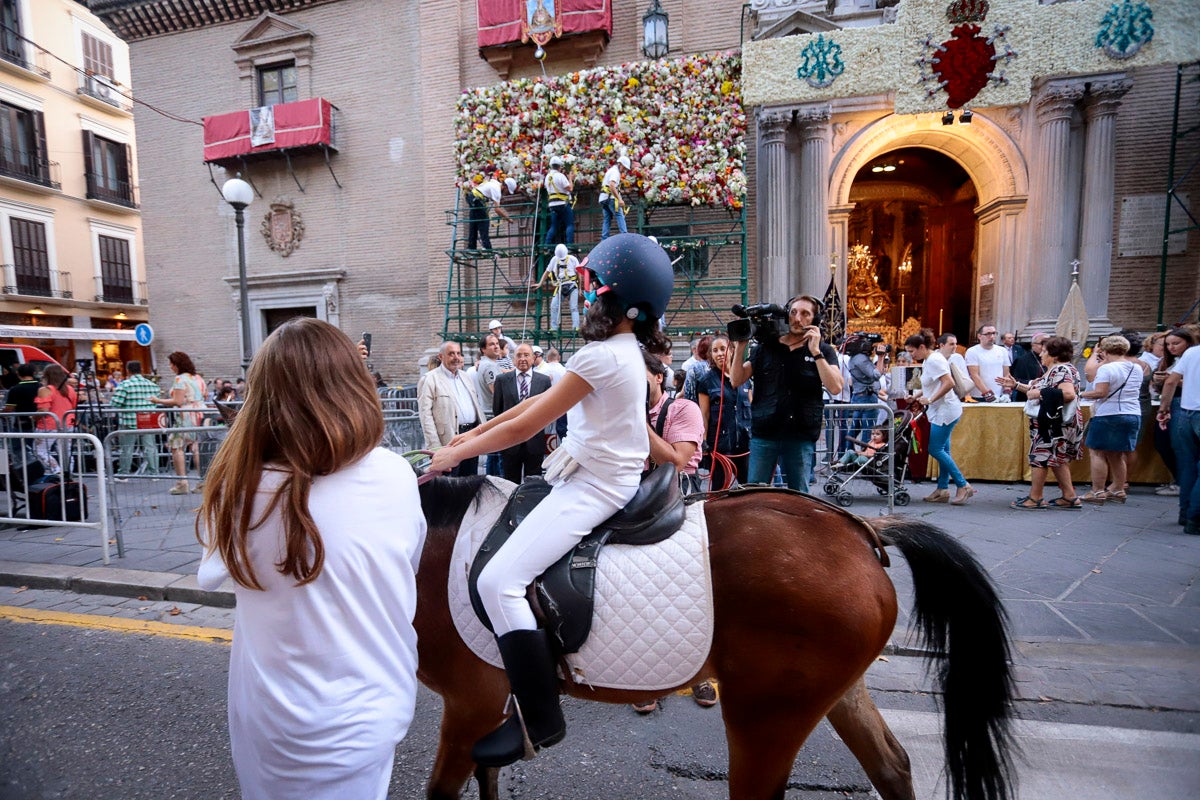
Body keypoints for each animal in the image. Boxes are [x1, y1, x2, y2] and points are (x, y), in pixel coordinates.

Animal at [412, 474, 1012, 800]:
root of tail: (861, 533)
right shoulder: (488, 711)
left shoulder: (471, 704)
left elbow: (443, 789)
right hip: (837, 694)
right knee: (892, 766)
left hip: (765, 715)